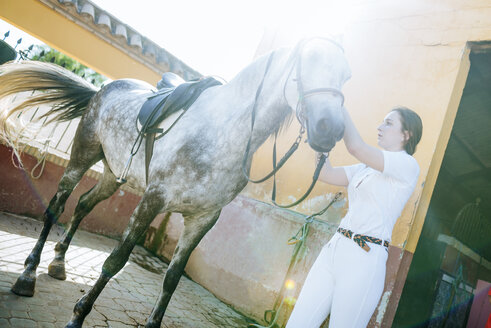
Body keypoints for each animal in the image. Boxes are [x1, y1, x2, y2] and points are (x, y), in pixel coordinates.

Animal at [1, 39, 352, 328]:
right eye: (309, 60)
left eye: (346, 76)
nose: (330, 128)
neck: (222, 132)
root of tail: (107, 87)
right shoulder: (153, 199)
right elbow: (116, 260)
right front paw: (78, 315)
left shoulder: (202, 220)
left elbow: (172, 278)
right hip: (81, 157)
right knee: (56, 206)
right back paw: (28, 275)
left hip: (113, 175)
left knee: (85, 204)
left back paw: (59, 263)